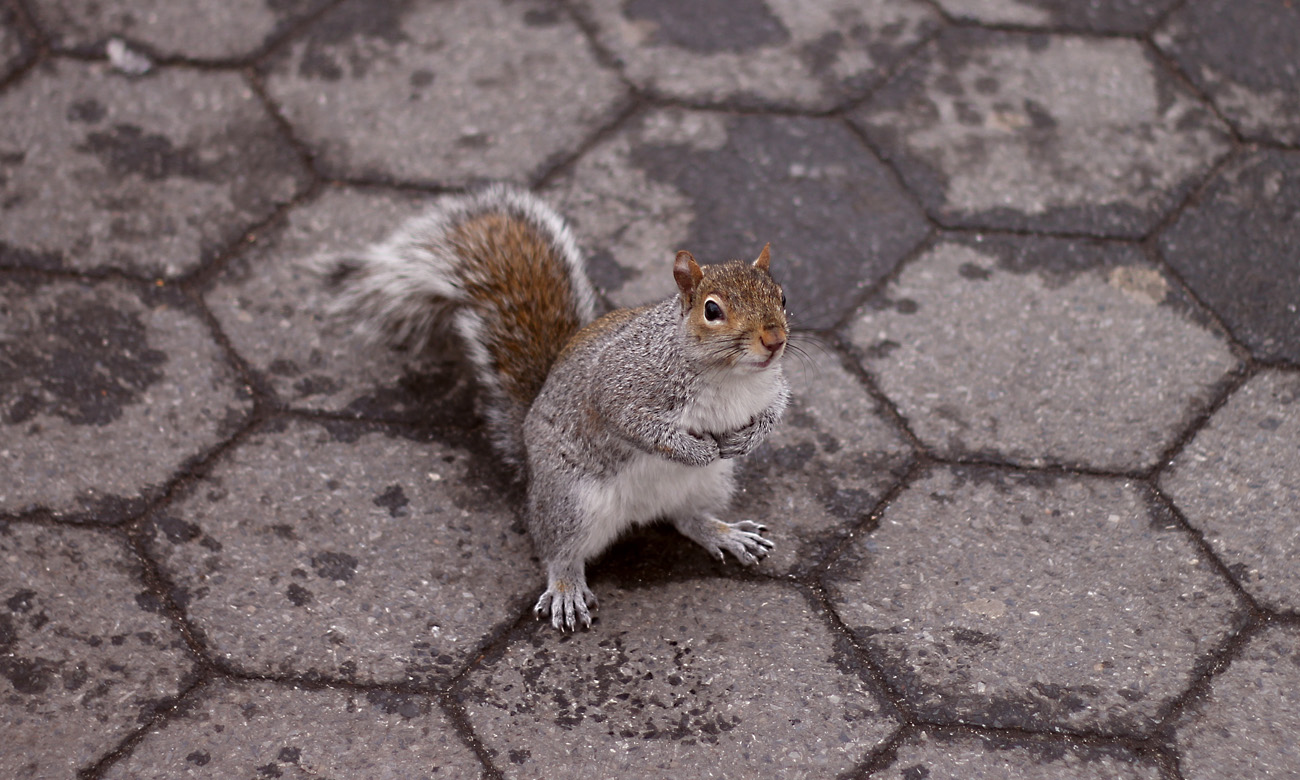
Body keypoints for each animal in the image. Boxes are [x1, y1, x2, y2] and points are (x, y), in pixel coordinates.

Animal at [320, 185, 790, 630]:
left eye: (782, 297)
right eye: (712, 310)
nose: (774, 340)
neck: (730, 376)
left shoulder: (772, 386)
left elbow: (776, 408)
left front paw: (749, 438)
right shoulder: (621, 384)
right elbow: (636, 424)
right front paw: (695, 449)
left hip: (710, 485)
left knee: (687, 518)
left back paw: (724, 533)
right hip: (570, 500)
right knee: (558, 549)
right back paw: (567, 587)